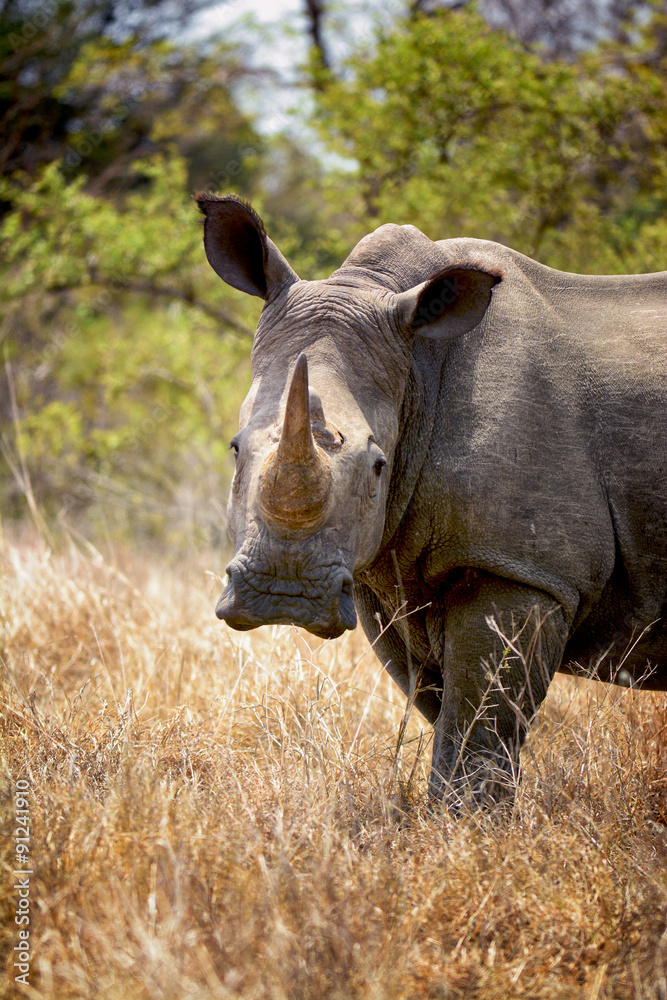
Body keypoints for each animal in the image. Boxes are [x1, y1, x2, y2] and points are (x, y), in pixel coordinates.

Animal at [197, 193, 667, 805]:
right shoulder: (384, 573)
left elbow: (480, 719)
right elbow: (445, 709)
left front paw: (469, 823)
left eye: (378, 465)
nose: (284, 596)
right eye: (234, 450)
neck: (418, 368)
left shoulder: (524, 567)